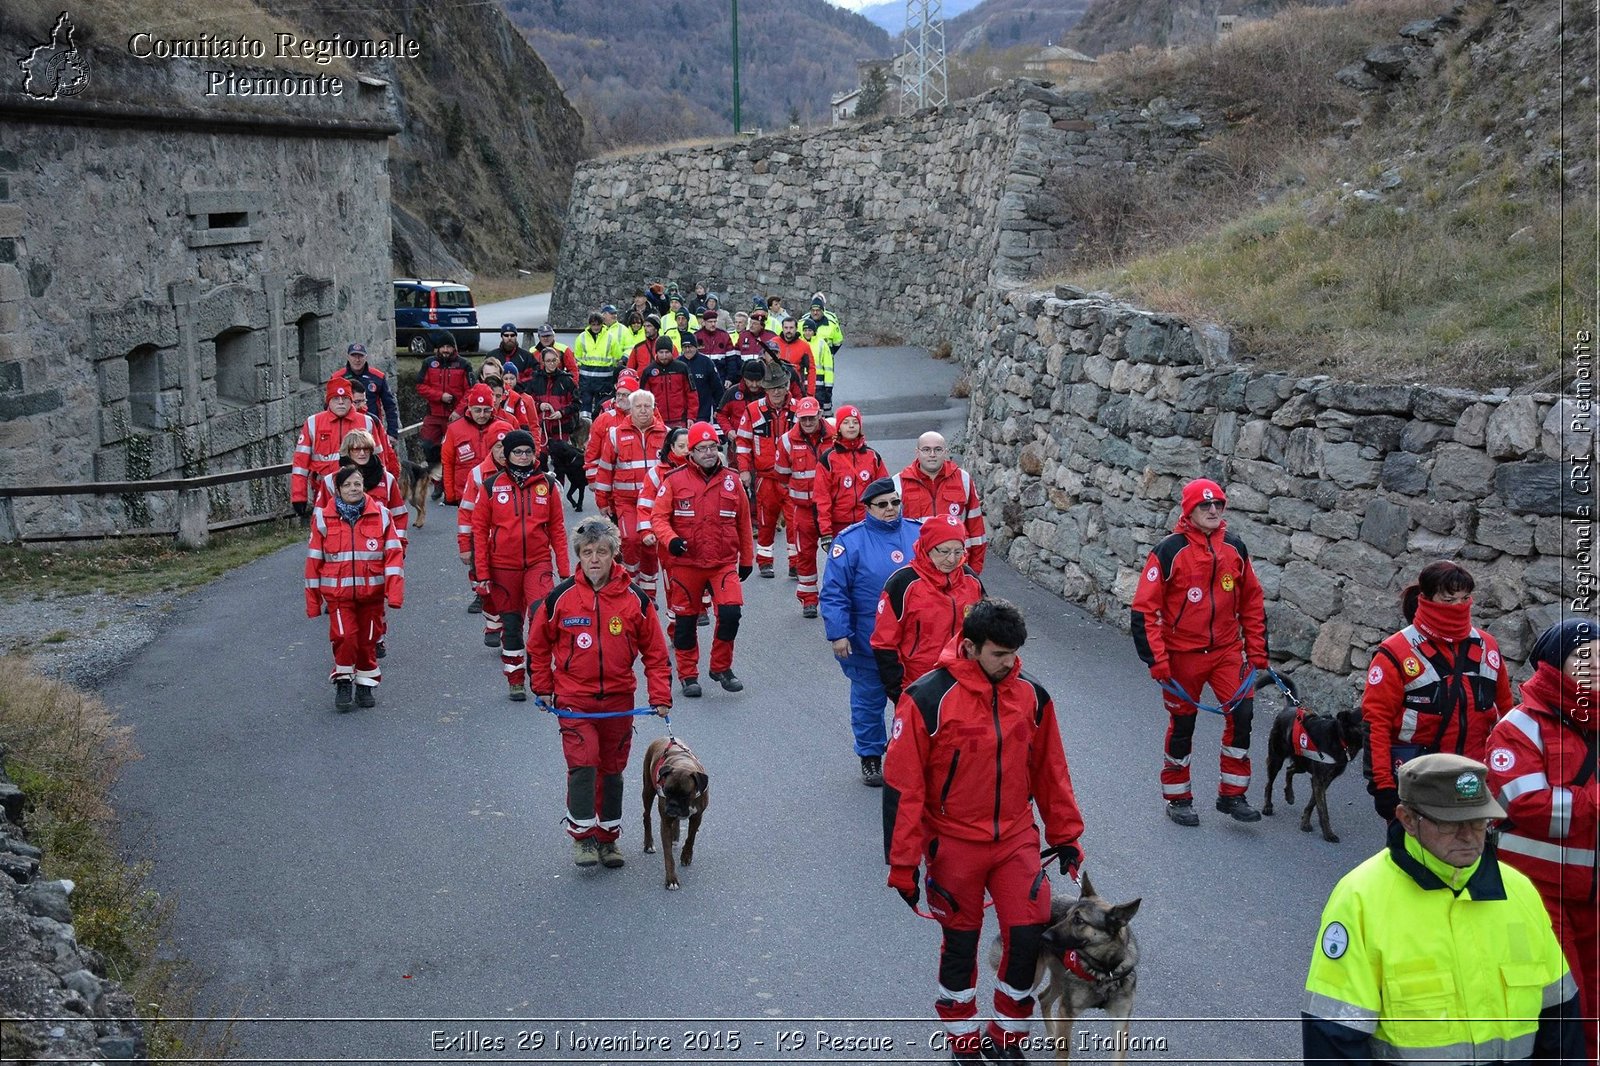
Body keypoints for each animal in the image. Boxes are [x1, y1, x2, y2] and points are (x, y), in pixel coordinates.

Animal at [979, 870, 1145, 1056]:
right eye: (1066, 916)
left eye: (1079, 920)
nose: (1044, 935)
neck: (1104, 969)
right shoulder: (1067, 1012)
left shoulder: (1120, 1021)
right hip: (1031, 977)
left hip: (1059, 979)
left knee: (1043, 998)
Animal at [1260, 675, 1363, 845]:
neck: (1340, 737)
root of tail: (1290, 707)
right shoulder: (1319, 780)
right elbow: (1323, 810)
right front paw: (1328, 834)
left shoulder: (1324, 780)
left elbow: (1313, 803)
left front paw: (1305, 822)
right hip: (1276, 759)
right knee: (1269, 783)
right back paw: (1267, 806)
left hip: (1302, 763)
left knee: (1290, 770)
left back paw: (1289, 795)